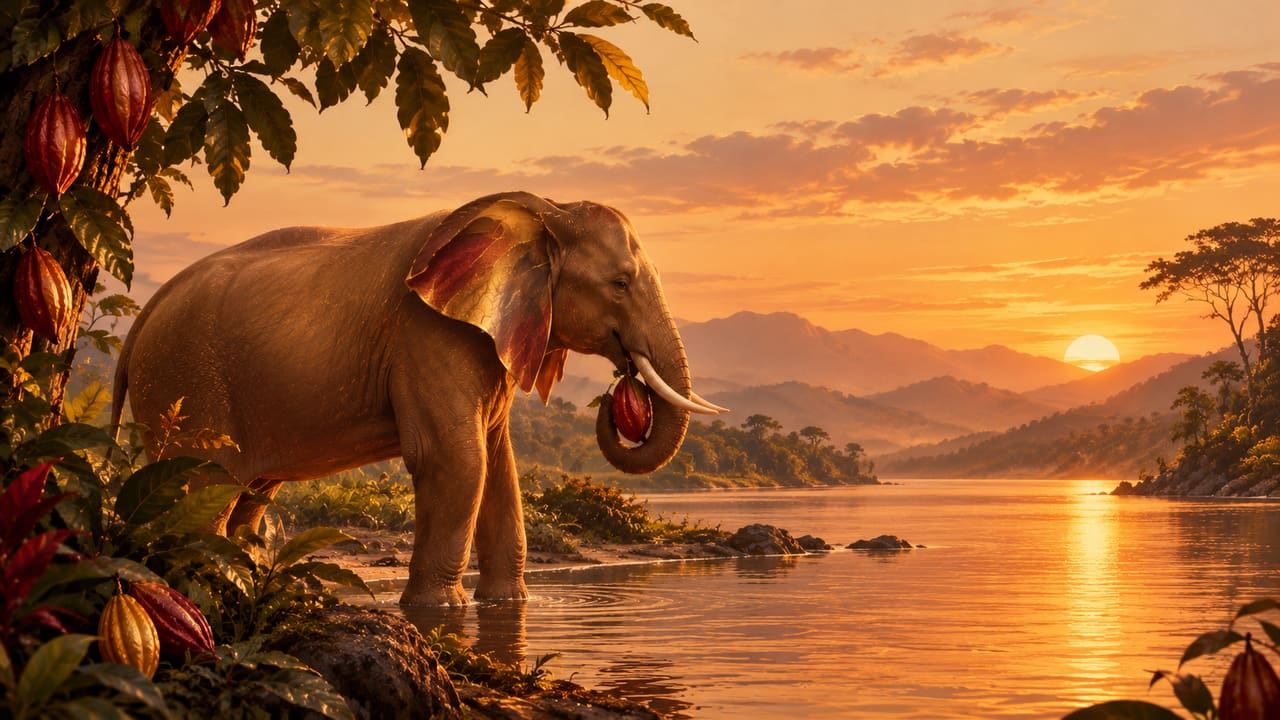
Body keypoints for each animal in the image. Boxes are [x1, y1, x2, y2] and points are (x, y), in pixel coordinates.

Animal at [109, 191, 726, 606]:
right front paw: (440, 612)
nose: (622, 390)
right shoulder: (429, 334)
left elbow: (498, 466)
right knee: (207, 489)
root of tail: (140, 320)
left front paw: (508, 605)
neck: (544, 210)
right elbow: (455, 459)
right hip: (187, 386)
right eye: (621, 283)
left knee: (249, 495)